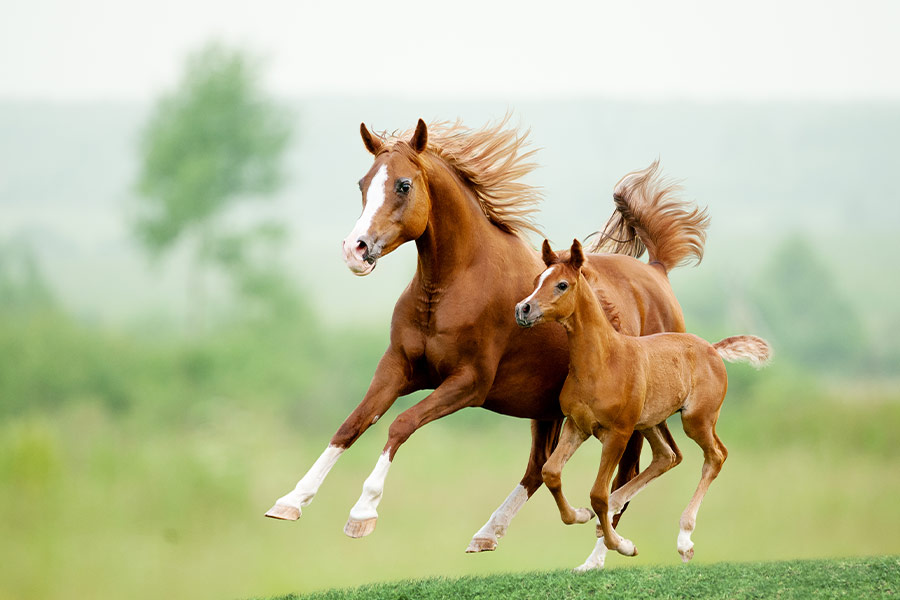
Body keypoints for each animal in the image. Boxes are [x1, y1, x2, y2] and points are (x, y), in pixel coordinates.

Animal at [265, 117, 710, 555]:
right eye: (363, 183)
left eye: (403, 185)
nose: (354, 250)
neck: (451, 285)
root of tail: (656, 271)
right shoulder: (397, 368)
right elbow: (352, 424)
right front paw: (290, 501)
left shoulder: (468, 383)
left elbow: (400, 425)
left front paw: (362, 513)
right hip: (547, 409)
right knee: (539, 468)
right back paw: (490, 532)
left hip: (630, 417)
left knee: (627, 474)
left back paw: (602, 554)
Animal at [515, 238, 770, 570]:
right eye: (537, 280)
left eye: (562, 284)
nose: (523, 309)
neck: (603, 362)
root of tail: (713, 349)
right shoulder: (577, 426)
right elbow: (551, 473)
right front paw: (581, 515)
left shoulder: (618, 433)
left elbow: (597, 493)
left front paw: (622, 545)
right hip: (650, 422)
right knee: (667, 456)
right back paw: (610, 515)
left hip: (696, 420)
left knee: (715, 456)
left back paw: (684, 539)